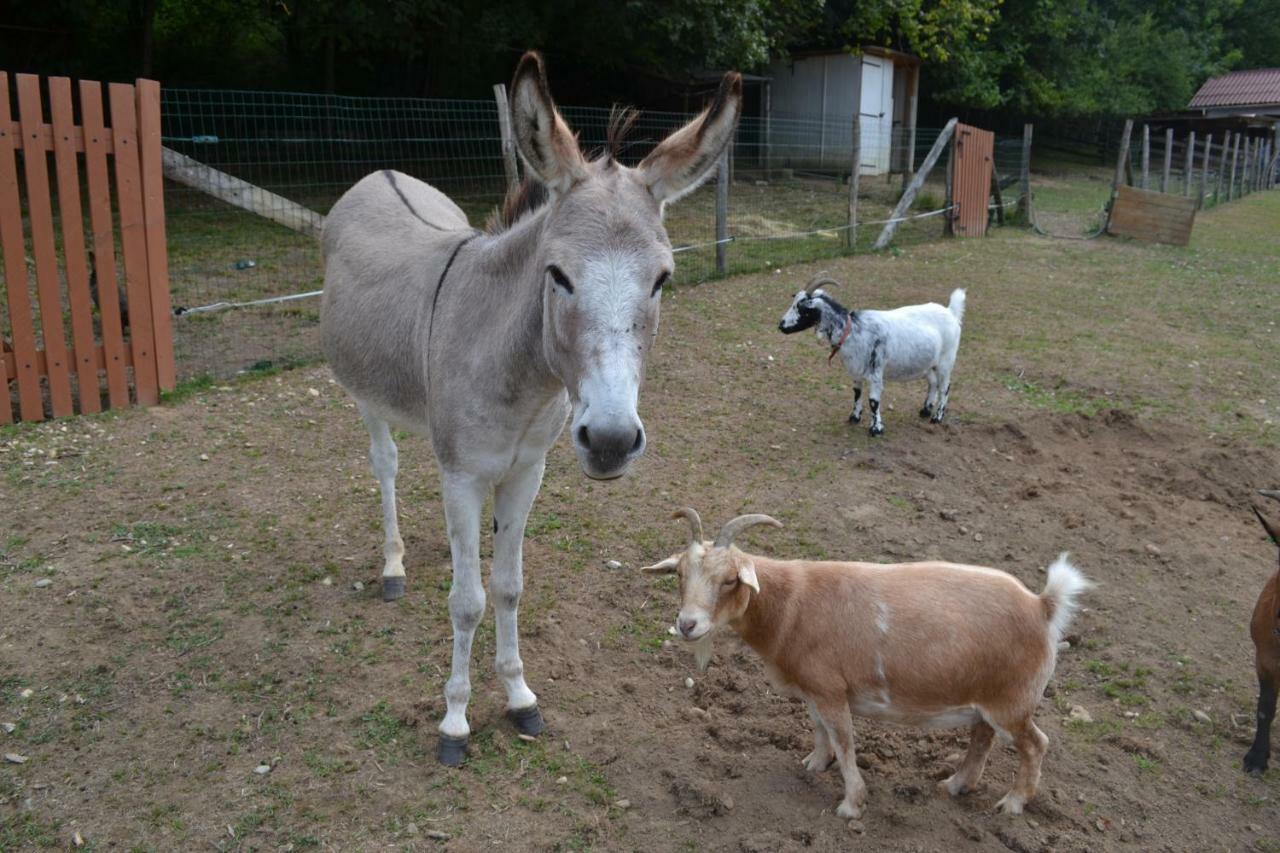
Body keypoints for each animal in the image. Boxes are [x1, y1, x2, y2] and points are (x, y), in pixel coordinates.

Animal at [640, 504, 1090, 819]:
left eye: (731, 579)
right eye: (679, 574)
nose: (688, 624)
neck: (791, 606)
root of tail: (1042, 605)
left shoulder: (830, 688)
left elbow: (845, 741)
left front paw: (851, 804)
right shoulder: (814, 688)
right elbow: (819, 729)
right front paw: (814, 764)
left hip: (1013, 701)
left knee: (1035, 745)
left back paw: (1013, 803)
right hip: (988, 697)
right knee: (982, 737)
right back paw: (956, 785)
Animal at [773, 274, 962, 435]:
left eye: (802, 308)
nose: (781, 326)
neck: (853, 330)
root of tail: (951, 312)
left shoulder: (876, 373)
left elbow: (873, 401)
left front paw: (876, 428)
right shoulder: (855, 370)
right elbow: (857, 393)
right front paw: (854, 417)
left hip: (946, 360)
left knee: (945, 387)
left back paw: (937, 417)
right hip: (928, 363)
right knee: (933, 383)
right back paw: (925, 410)